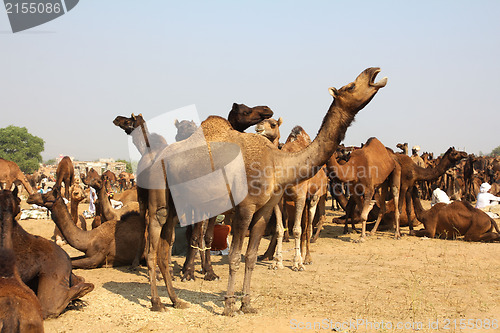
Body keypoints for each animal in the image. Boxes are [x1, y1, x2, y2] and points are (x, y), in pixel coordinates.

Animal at [139, 67, 388, 314]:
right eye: (351, 86)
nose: (374, 71)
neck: (279, 163)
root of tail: (153, 160)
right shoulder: (244, 207)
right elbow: (235, 257)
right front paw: (229, 305)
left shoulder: (265, 210)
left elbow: (250, 257)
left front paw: (247, 304)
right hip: (159, 197)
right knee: (153, 246)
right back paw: (157, 302)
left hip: (176, 202)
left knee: (164, 250)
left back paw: (176, 300)